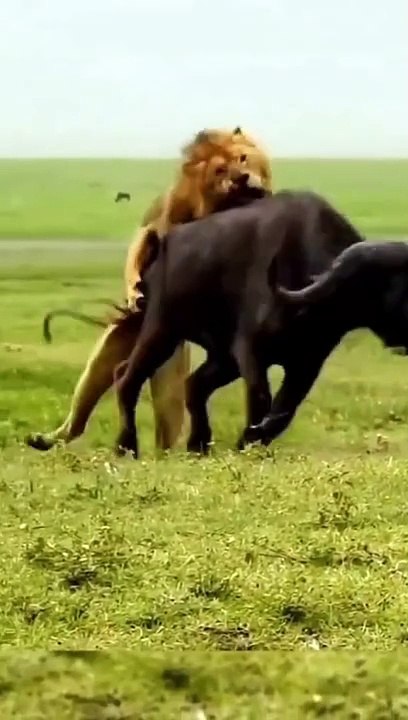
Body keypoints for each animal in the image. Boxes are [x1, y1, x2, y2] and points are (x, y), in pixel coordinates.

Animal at [26, 127, 272, 453]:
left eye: (243, 158)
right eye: (221, 170)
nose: (242, 177)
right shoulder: (160, 222)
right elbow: (143, 241)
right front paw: (135, 290)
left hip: (167, 359)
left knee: (165, 415)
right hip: (118, 342)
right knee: (92, 395)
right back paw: (48, 439)